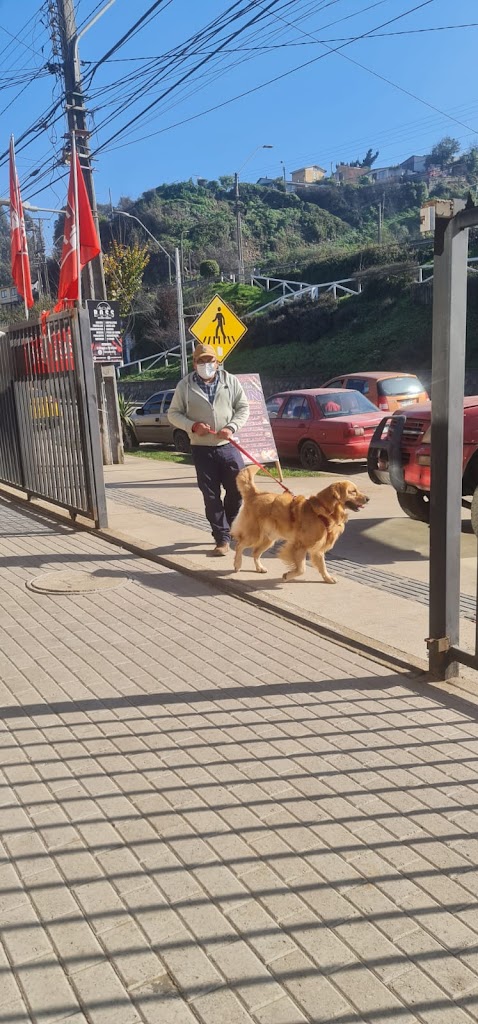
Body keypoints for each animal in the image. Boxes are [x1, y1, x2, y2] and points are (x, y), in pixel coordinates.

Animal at [231, 466, 369, 582]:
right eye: (353, 491)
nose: (368, 499)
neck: (324, 511)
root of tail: (256, 493)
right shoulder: (300, 546)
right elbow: (302, 569)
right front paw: (287, 575)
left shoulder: (318, 547)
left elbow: (322, 565)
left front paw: (327, 578)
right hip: (254, 535)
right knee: (240, 545)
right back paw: (237, 564)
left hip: (268, 539)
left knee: (255, 552)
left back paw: (259, 567)